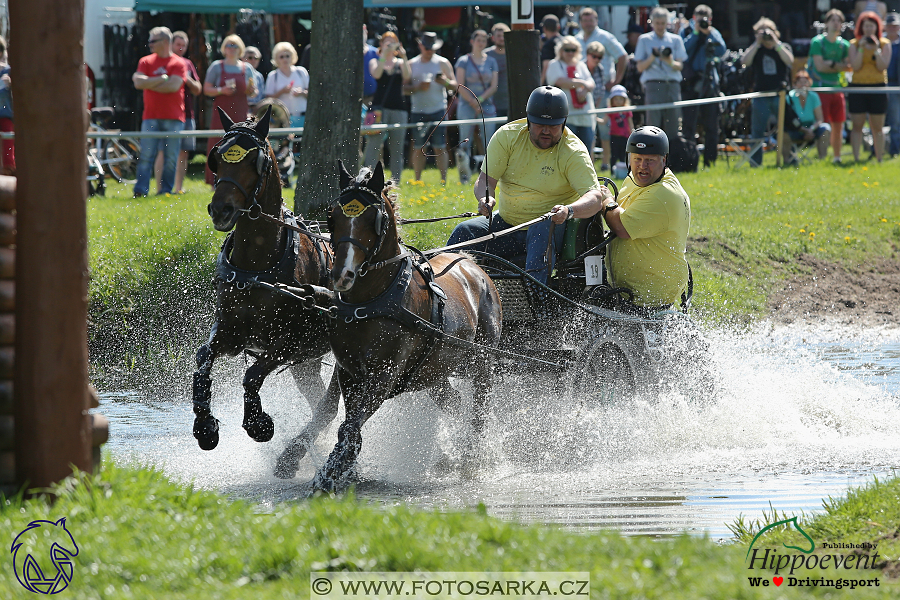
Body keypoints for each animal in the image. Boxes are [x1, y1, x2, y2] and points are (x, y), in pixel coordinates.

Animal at [193, 103, 338, 478]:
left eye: (254, 161)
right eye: (217, 157)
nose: (221, 209)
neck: (257, 264)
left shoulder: (290, 343)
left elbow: (252, 374)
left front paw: (259, 424)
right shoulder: (231, 333)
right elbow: (203, 359)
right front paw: (205, 426)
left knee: (329, 405)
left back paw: (294, 454)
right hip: (306, 364)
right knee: (319, 401)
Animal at [314, 162, 500, 490]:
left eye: (373, 219)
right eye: (332, 216)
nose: (341, 274)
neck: (371, 300)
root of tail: (472, 263)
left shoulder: (383, 375)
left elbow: (350, 427)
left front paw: (330, 475)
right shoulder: (349, 372)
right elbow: (348, 425)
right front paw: (344, 469)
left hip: (481, 362)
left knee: (479, 410)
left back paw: (471, 459)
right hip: (436, 372)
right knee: (454, 403)